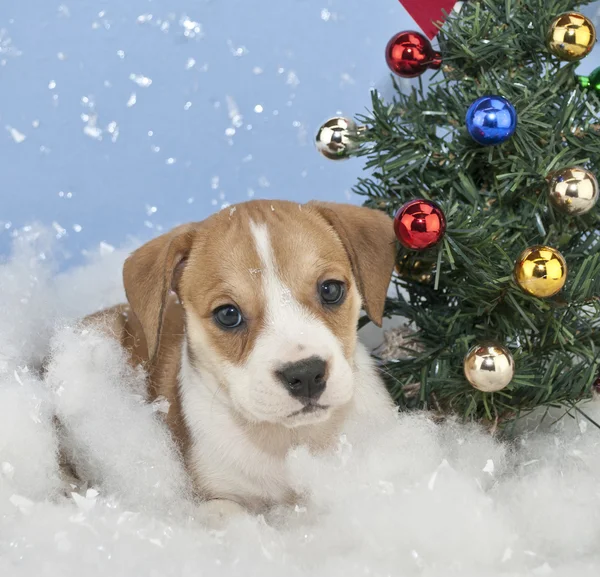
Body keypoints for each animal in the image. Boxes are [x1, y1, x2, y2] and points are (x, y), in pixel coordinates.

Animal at [75, 198, 396, 520]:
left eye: (330, 289)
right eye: (228, 315)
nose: (306, 374)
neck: (289, 438)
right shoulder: (212, 499)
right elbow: (233, 515)